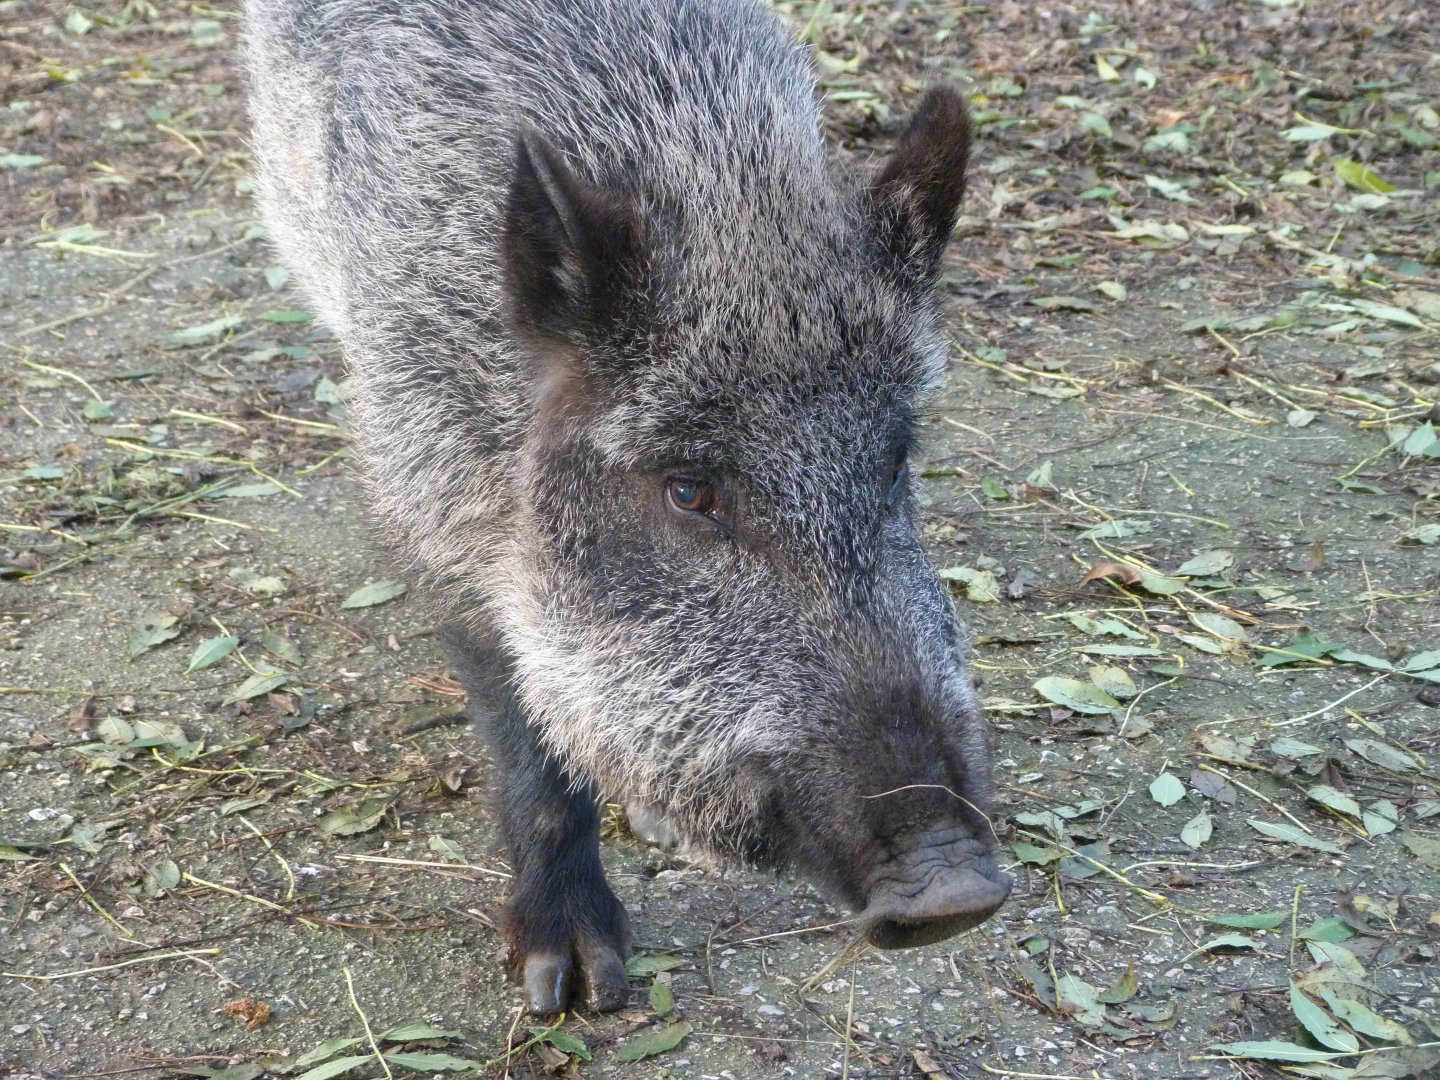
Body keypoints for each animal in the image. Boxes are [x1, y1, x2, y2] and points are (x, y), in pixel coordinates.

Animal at [244, 0, 1011, 1014]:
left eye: (893, 461)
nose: (953, 887)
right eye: (688, 488)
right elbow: (526, 740)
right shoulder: (428, 500)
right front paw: (573, 989)